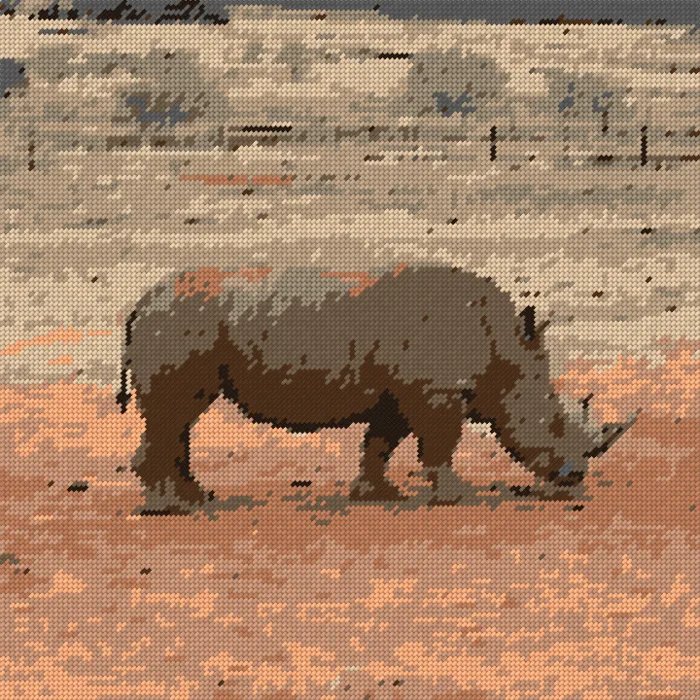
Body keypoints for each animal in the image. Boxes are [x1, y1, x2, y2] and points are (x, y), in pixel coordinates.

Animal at [118, 265, 636, 514]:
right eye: (552, 420)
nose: (573, 478)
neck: (503, 349)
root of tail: (141, 300)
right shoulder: (433, 389)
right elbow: (441, 443)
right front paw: (457, 497)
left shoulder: (402, 390)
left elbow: (381, 442)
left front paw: (378, 495)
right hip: (183, 321)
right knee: (173, 413)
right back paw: (168, 509)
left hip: (187, 320)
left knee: (180, 419)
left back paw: (195, 500)